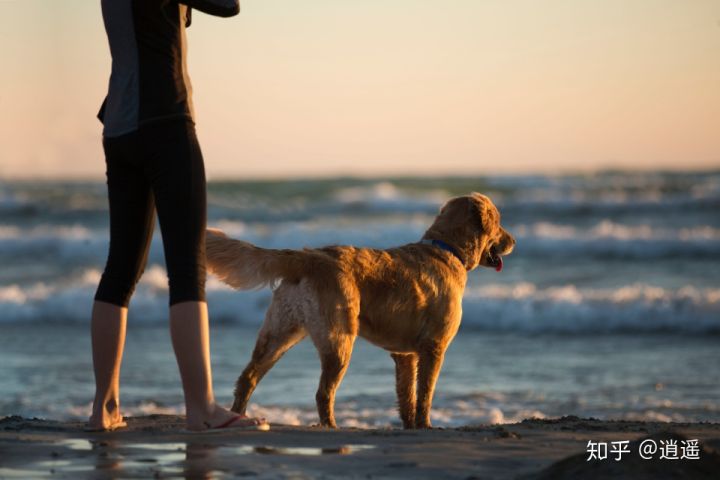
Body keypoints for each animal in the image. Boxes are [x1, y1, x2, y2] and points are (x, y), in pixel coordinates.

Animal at [205, 191, 516, 428]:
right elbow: (425, 394)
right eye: (499, 222)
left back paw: (239, 416)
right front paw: (426, 425)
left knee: (248, 377)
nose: (513, 241)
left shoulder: (405, 355)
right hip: (339, 339)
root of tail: (309, 257)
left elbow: (407, 396)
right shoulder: (434, 347)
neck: (446, 249)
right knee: (323, 393)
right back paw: (330, 427)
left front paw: (410, 426)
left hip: (279, 333)